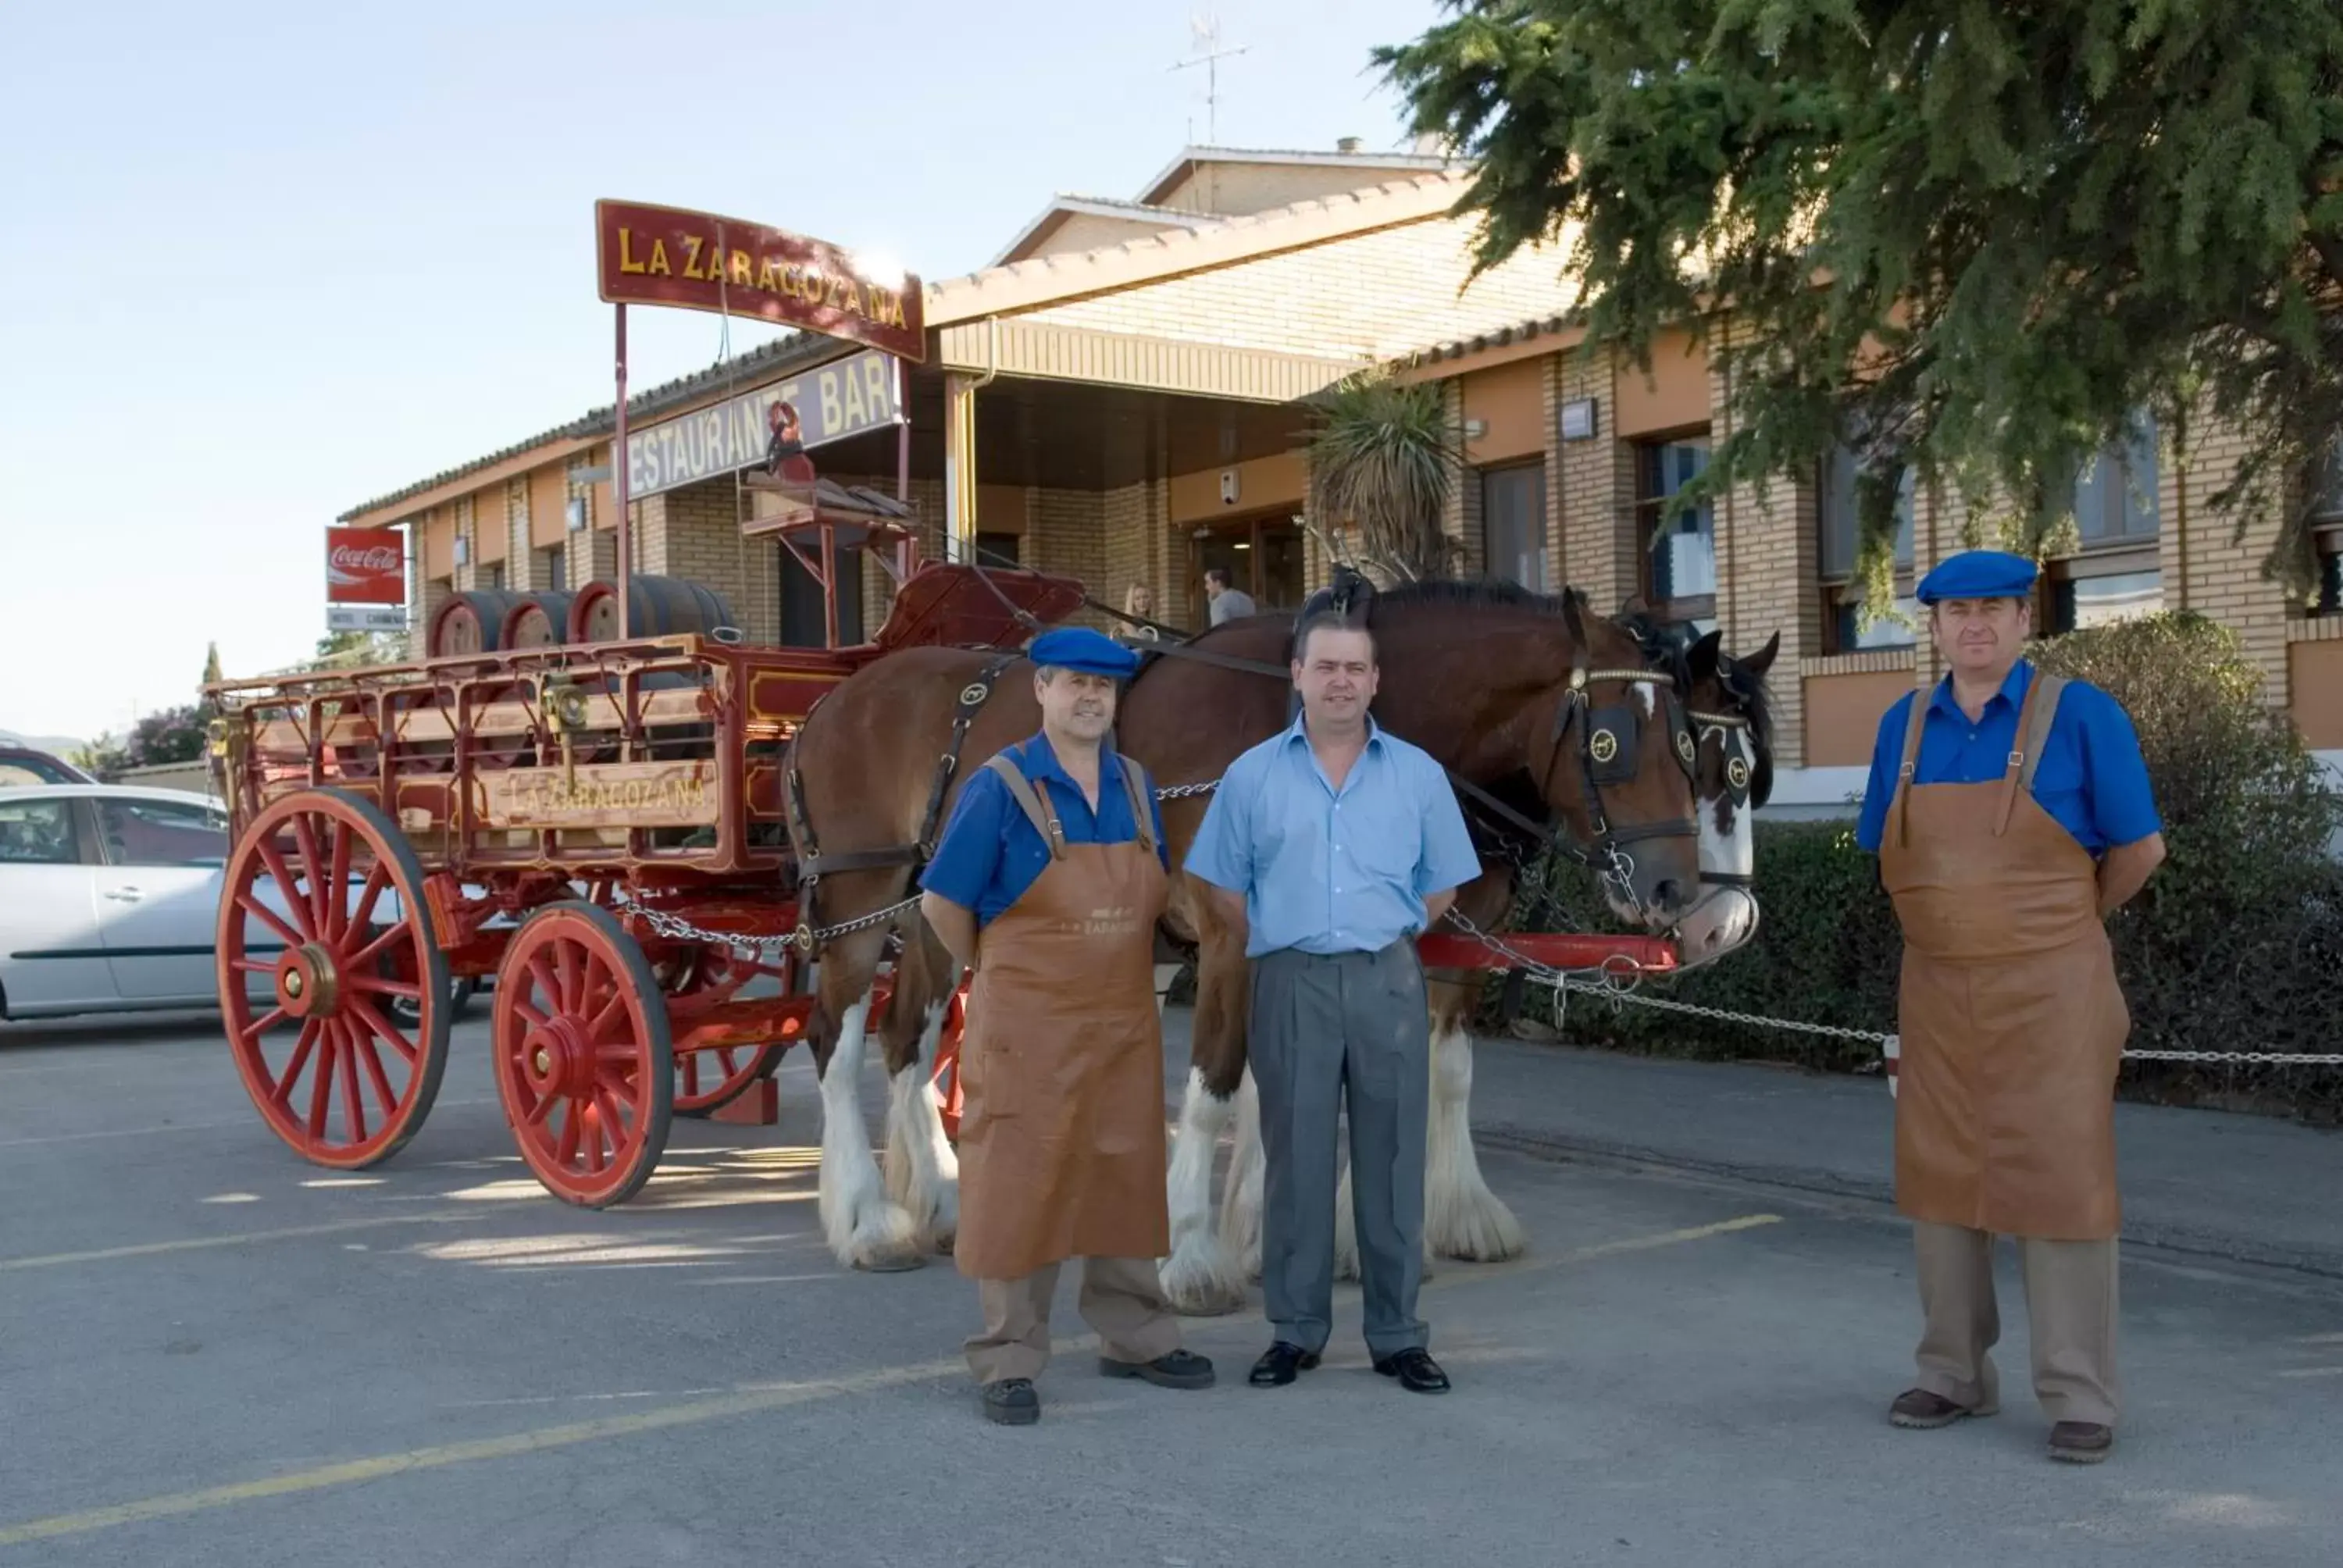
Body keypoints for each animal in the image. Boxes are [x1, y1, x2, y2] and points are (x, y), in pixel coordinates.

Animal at [783, 574, 1706, 1284]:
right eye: (1612, 740)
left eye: (1690, 740)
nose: (1678, 889)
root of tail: (831, 702)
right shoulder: (1229, 936)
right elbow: (1218, 1084)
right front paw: (1193, 1252)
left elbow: (1338, 1078)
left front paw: (1286, 1231)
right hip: (859, 904)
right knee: (836, 1040)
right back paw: (867, 1219)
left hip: (933, 915)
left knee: (907, 1038)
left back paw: (941, 1201)